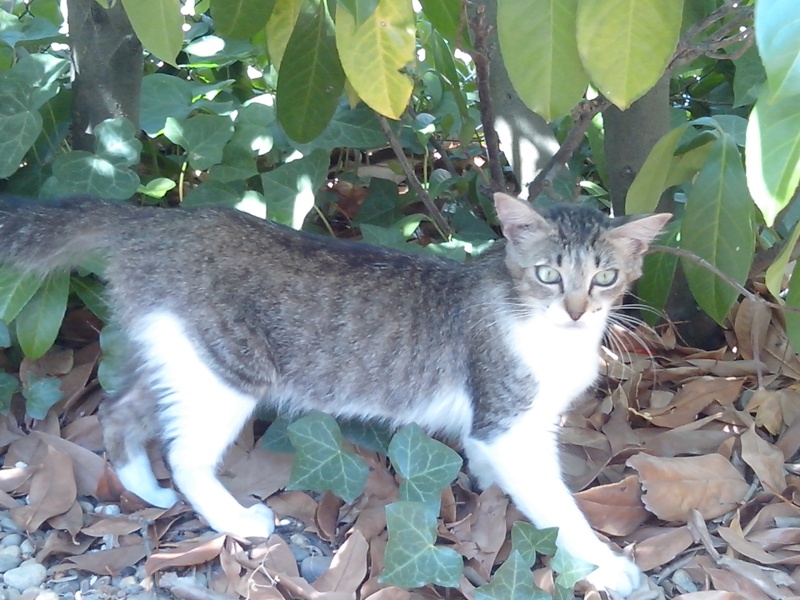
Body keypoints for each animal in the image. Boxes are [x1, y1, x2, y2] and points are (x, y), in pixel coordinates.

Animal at [0, 192, 672, 596]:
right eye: (549, 275)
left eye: (606, 277)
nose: (578, 310)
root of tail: (158, 219)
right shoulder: (511, 424)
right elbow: (558, 508)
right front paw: (608, 564)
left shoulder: (503, 422)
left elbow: (489, 459)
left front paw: (489, 488)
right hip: (227, 374)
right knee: (184, 454)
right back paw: (236, 520)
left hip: (176, 356)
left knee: (118, 411)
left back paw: (146, 488)